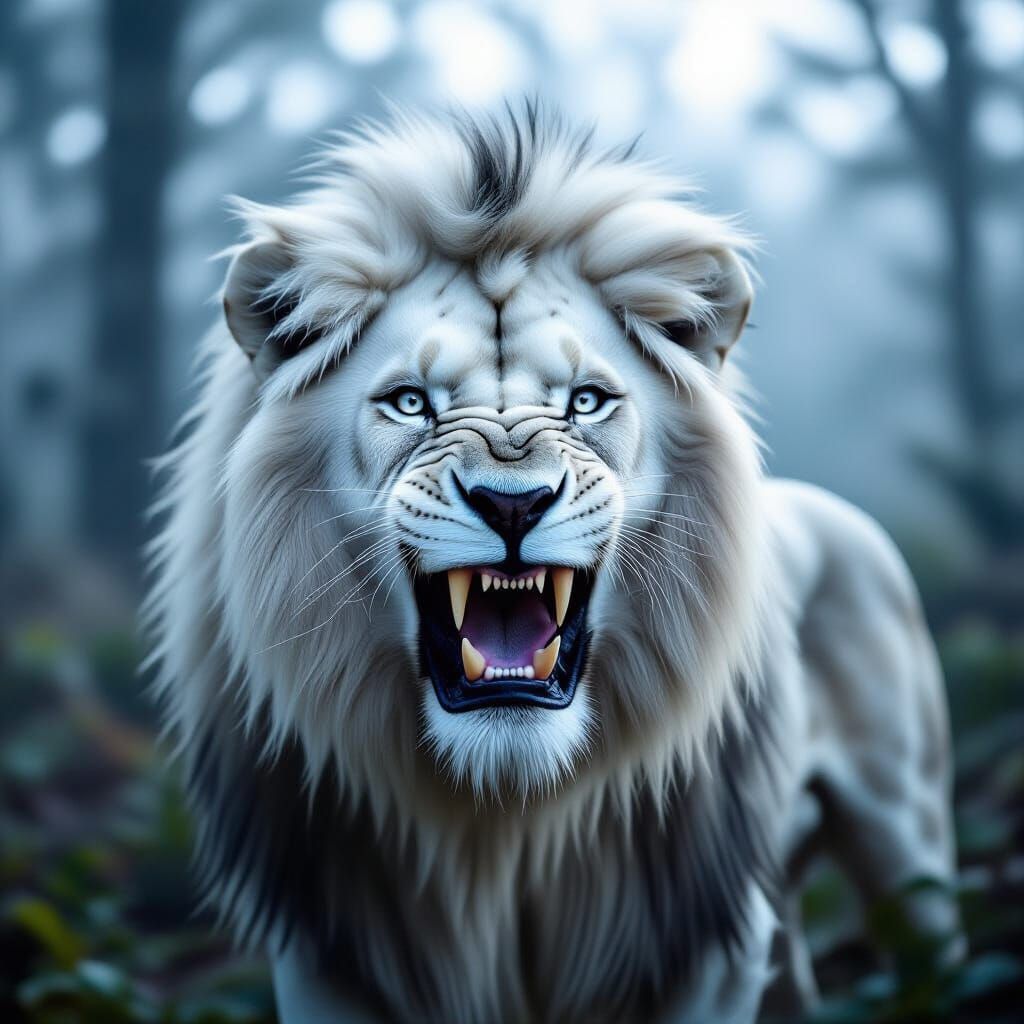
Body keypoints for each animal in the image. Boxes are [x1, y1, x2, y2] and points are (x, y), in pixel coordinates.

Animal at [145, 104, 959, 1023]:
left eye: (586, 401)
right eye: (410, 403)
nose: (512, 503)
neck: (506, 817)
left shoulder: (697, 944)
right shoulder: (333, 954)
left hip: (909, 848)